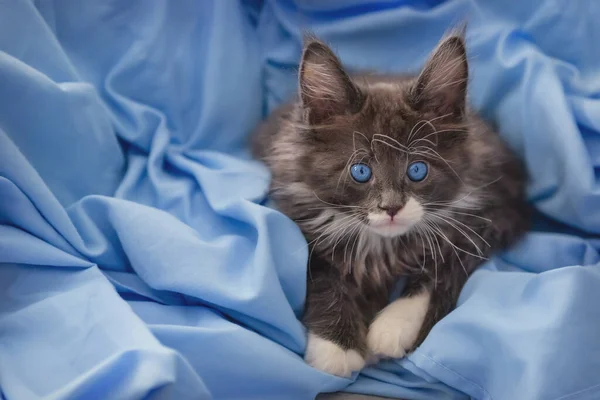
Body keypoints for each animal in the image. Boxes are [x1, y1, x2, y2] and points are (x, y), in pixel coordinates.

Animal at [251, 32, 528, 376]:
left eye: (417, 170)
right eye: (361, 171)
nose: (392, 207)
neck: (383, 245)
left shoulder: (492, 217)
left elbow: (442, 269)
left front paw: (393, 325)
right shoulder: (299, 214)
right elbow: (321, 273)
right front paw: (336, 346)